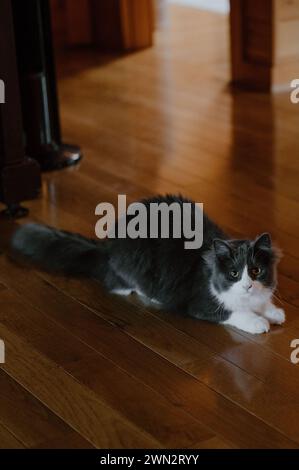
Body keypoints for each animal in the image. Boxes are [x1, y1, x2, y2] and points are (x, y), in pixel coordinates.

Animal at [11, 195, 286, 334]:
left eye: (255, 271)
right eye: (233, 273)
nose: (248, 286)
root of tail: (107, 247)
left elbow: (264, 304)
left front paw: (273, 313)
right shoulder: (202, 303)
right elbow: (233, 312)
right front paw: (259, 322)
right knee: (117, 284)